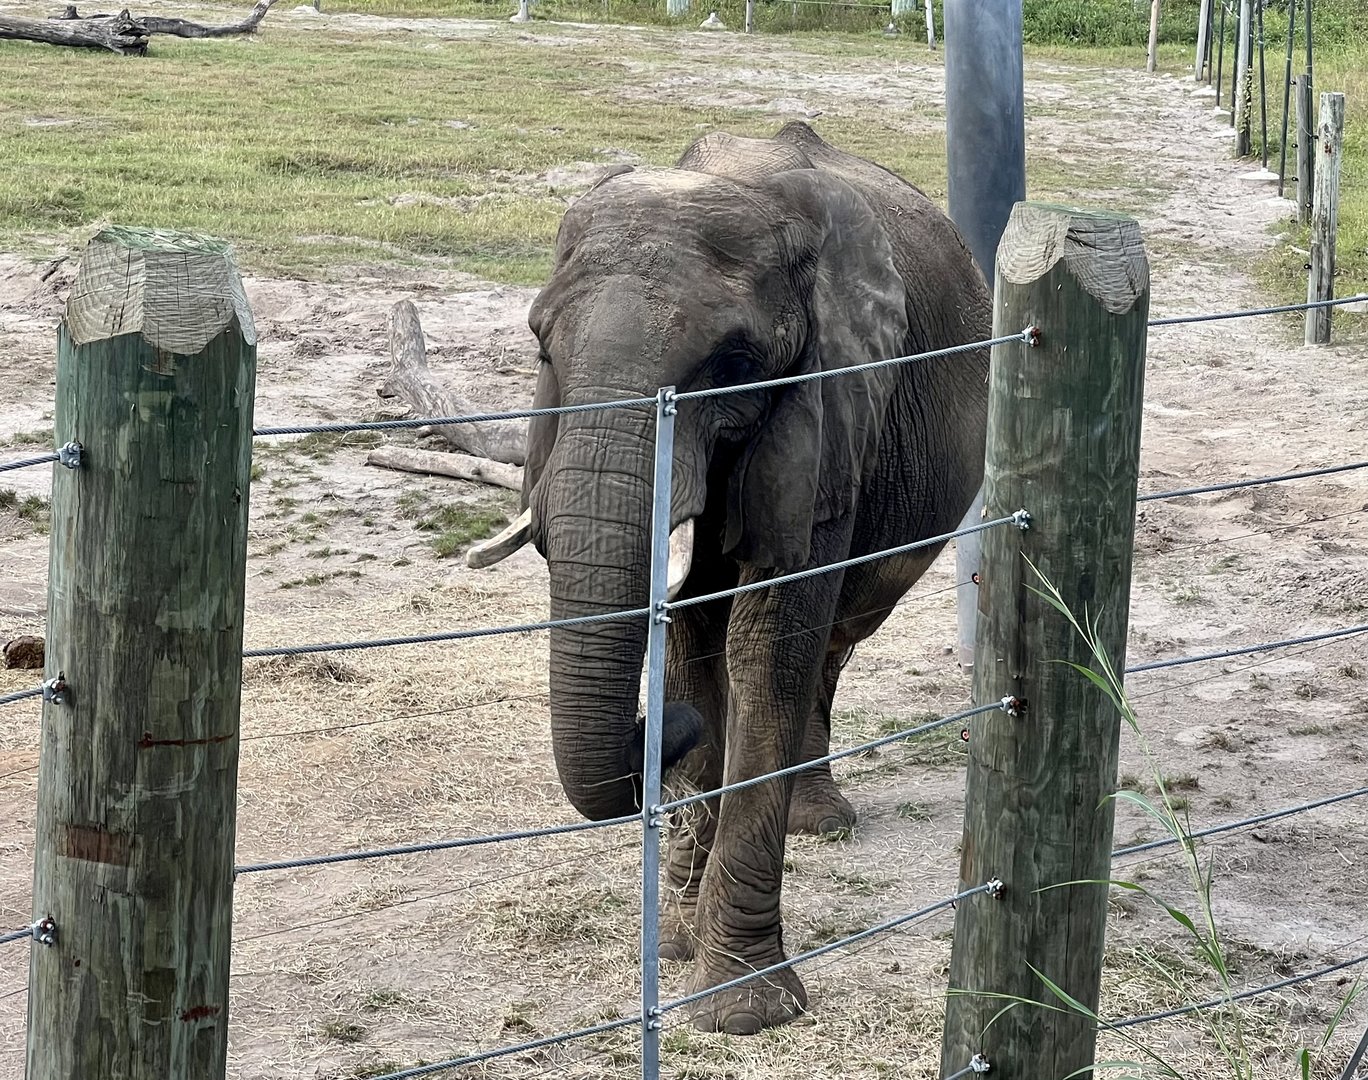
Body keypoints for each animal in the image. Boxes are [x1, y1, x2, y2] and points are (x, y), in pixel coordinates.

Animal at [468, 121, 992, 1034]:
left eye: (736, 362)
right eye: (541, 345)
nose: (663, 735)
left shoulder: (831, 403)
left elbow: (764, 644)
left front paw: (743, 1009)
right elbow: (689, 628)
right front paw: (678, 940)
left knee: (835, 633)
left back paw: (820, 820)